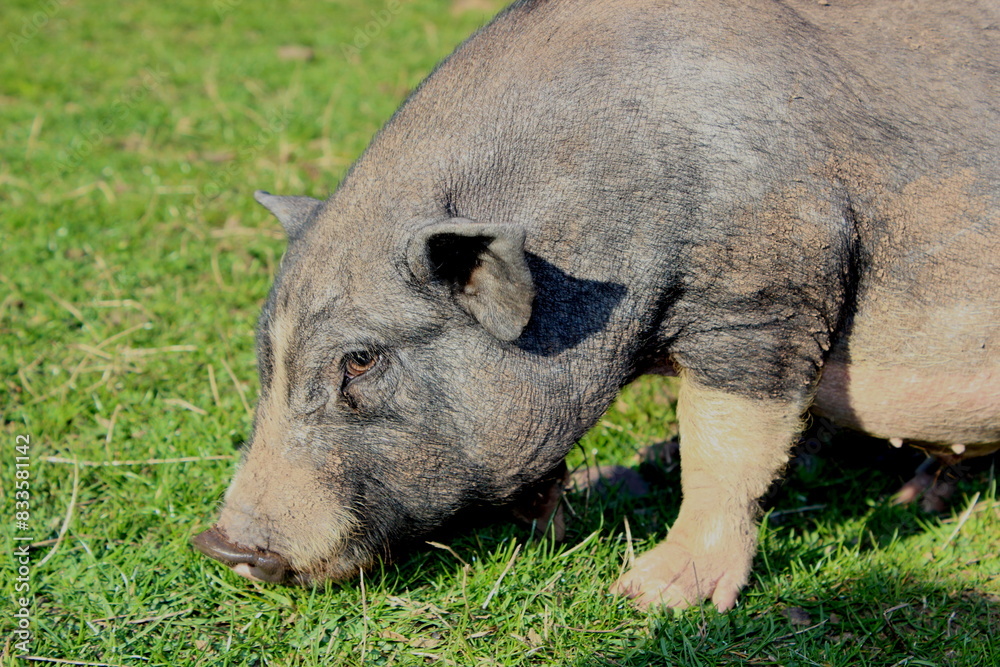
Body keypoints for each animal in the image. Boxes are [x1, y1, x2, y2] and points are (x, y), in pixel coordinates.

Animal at [191, 0, 996, 612]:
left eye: (360, 359)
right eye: (265, 359)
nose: (219, 543)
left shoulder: (771, 285)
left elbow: (726, 444)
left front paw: (647, 597)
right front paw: (591, 494)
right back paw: (913, 499)